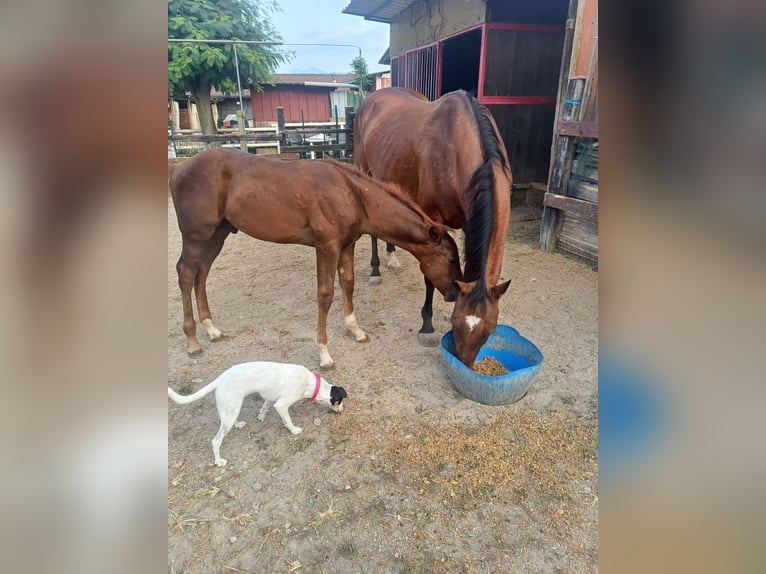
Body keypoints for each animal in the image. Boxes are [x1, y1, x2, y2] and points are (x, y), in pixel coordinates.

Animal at [170, 147, 460, 368]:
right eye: (450, 259)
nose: (455, 292)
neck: (353, 194)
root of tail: (179, 169)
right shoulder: (326, 247)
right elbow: (325, 295)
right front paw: (324, 354)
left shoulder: (346, 245)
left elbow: (348, 283)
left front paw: (356, 330)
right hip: (196, 235)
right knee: (186, 273)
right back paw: (192, 341)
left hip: (217, 234)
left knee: (202, 273)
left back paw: (211, 329)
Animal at [170, 364, 350, 468]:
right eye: (339, 401)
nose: (343, 410)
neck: (310, 384)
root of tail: (220, 379)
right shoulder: (281, 405)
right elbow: (288, 420)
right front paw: (293, 430)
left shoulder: (270, 399)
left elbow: (264, 407)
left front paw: (261, 416)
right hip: (231, 410)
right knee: (216, 441)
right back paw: (219, 461)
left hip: (231, 410)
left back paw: (238, 424)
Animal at [356, 89, 512, 368]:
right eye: (454, 321)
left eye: (491, 329)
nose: (463, 362)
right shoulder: (432, 222)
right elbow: (430, 275)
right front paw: (427, 326)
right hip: (366, 173)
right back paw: (375, 270)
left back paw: (392, 258)